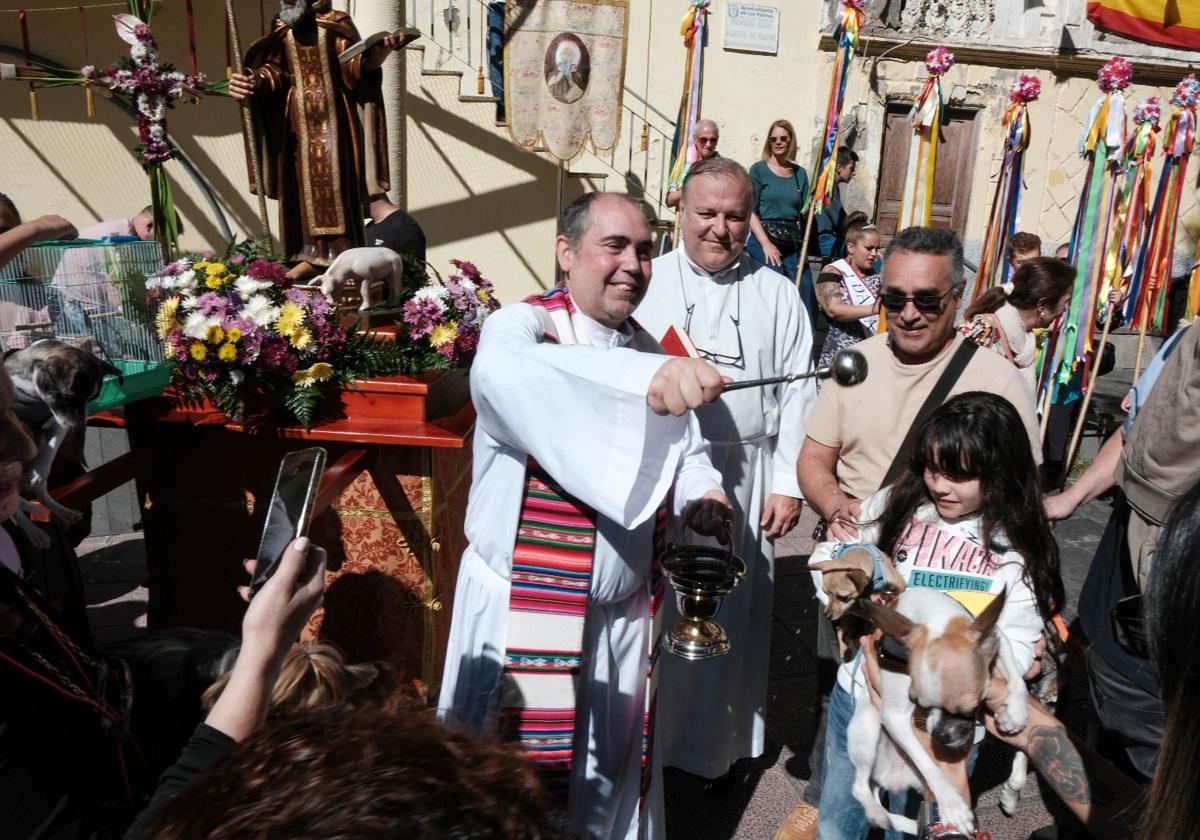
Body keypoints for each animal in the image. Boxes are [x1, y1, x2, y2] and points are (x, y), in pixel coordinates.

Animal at [3, 338, 120, 547]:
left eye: (91, 399)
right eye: (69, 397)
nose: (79, 429)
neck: (31, 393)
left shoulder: (55, 425)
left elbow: (49, 453)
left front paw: (37, 473)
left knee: (39, 490)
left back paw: (60, 511)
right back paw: (34, 531)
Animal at [844, 588, 1032, 835]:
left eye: (973, 708)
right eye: (917, 701)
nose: (941, 735)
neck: (935, 619)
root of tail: (889, 778)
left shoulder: (997, 638)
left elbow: (1015, 674)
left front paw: (1016, 711)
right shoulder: (893, 717)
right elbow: (927, 762)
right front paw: (951, 803)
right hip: (867, 728)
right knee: (858, 787)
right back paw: (876, 813)